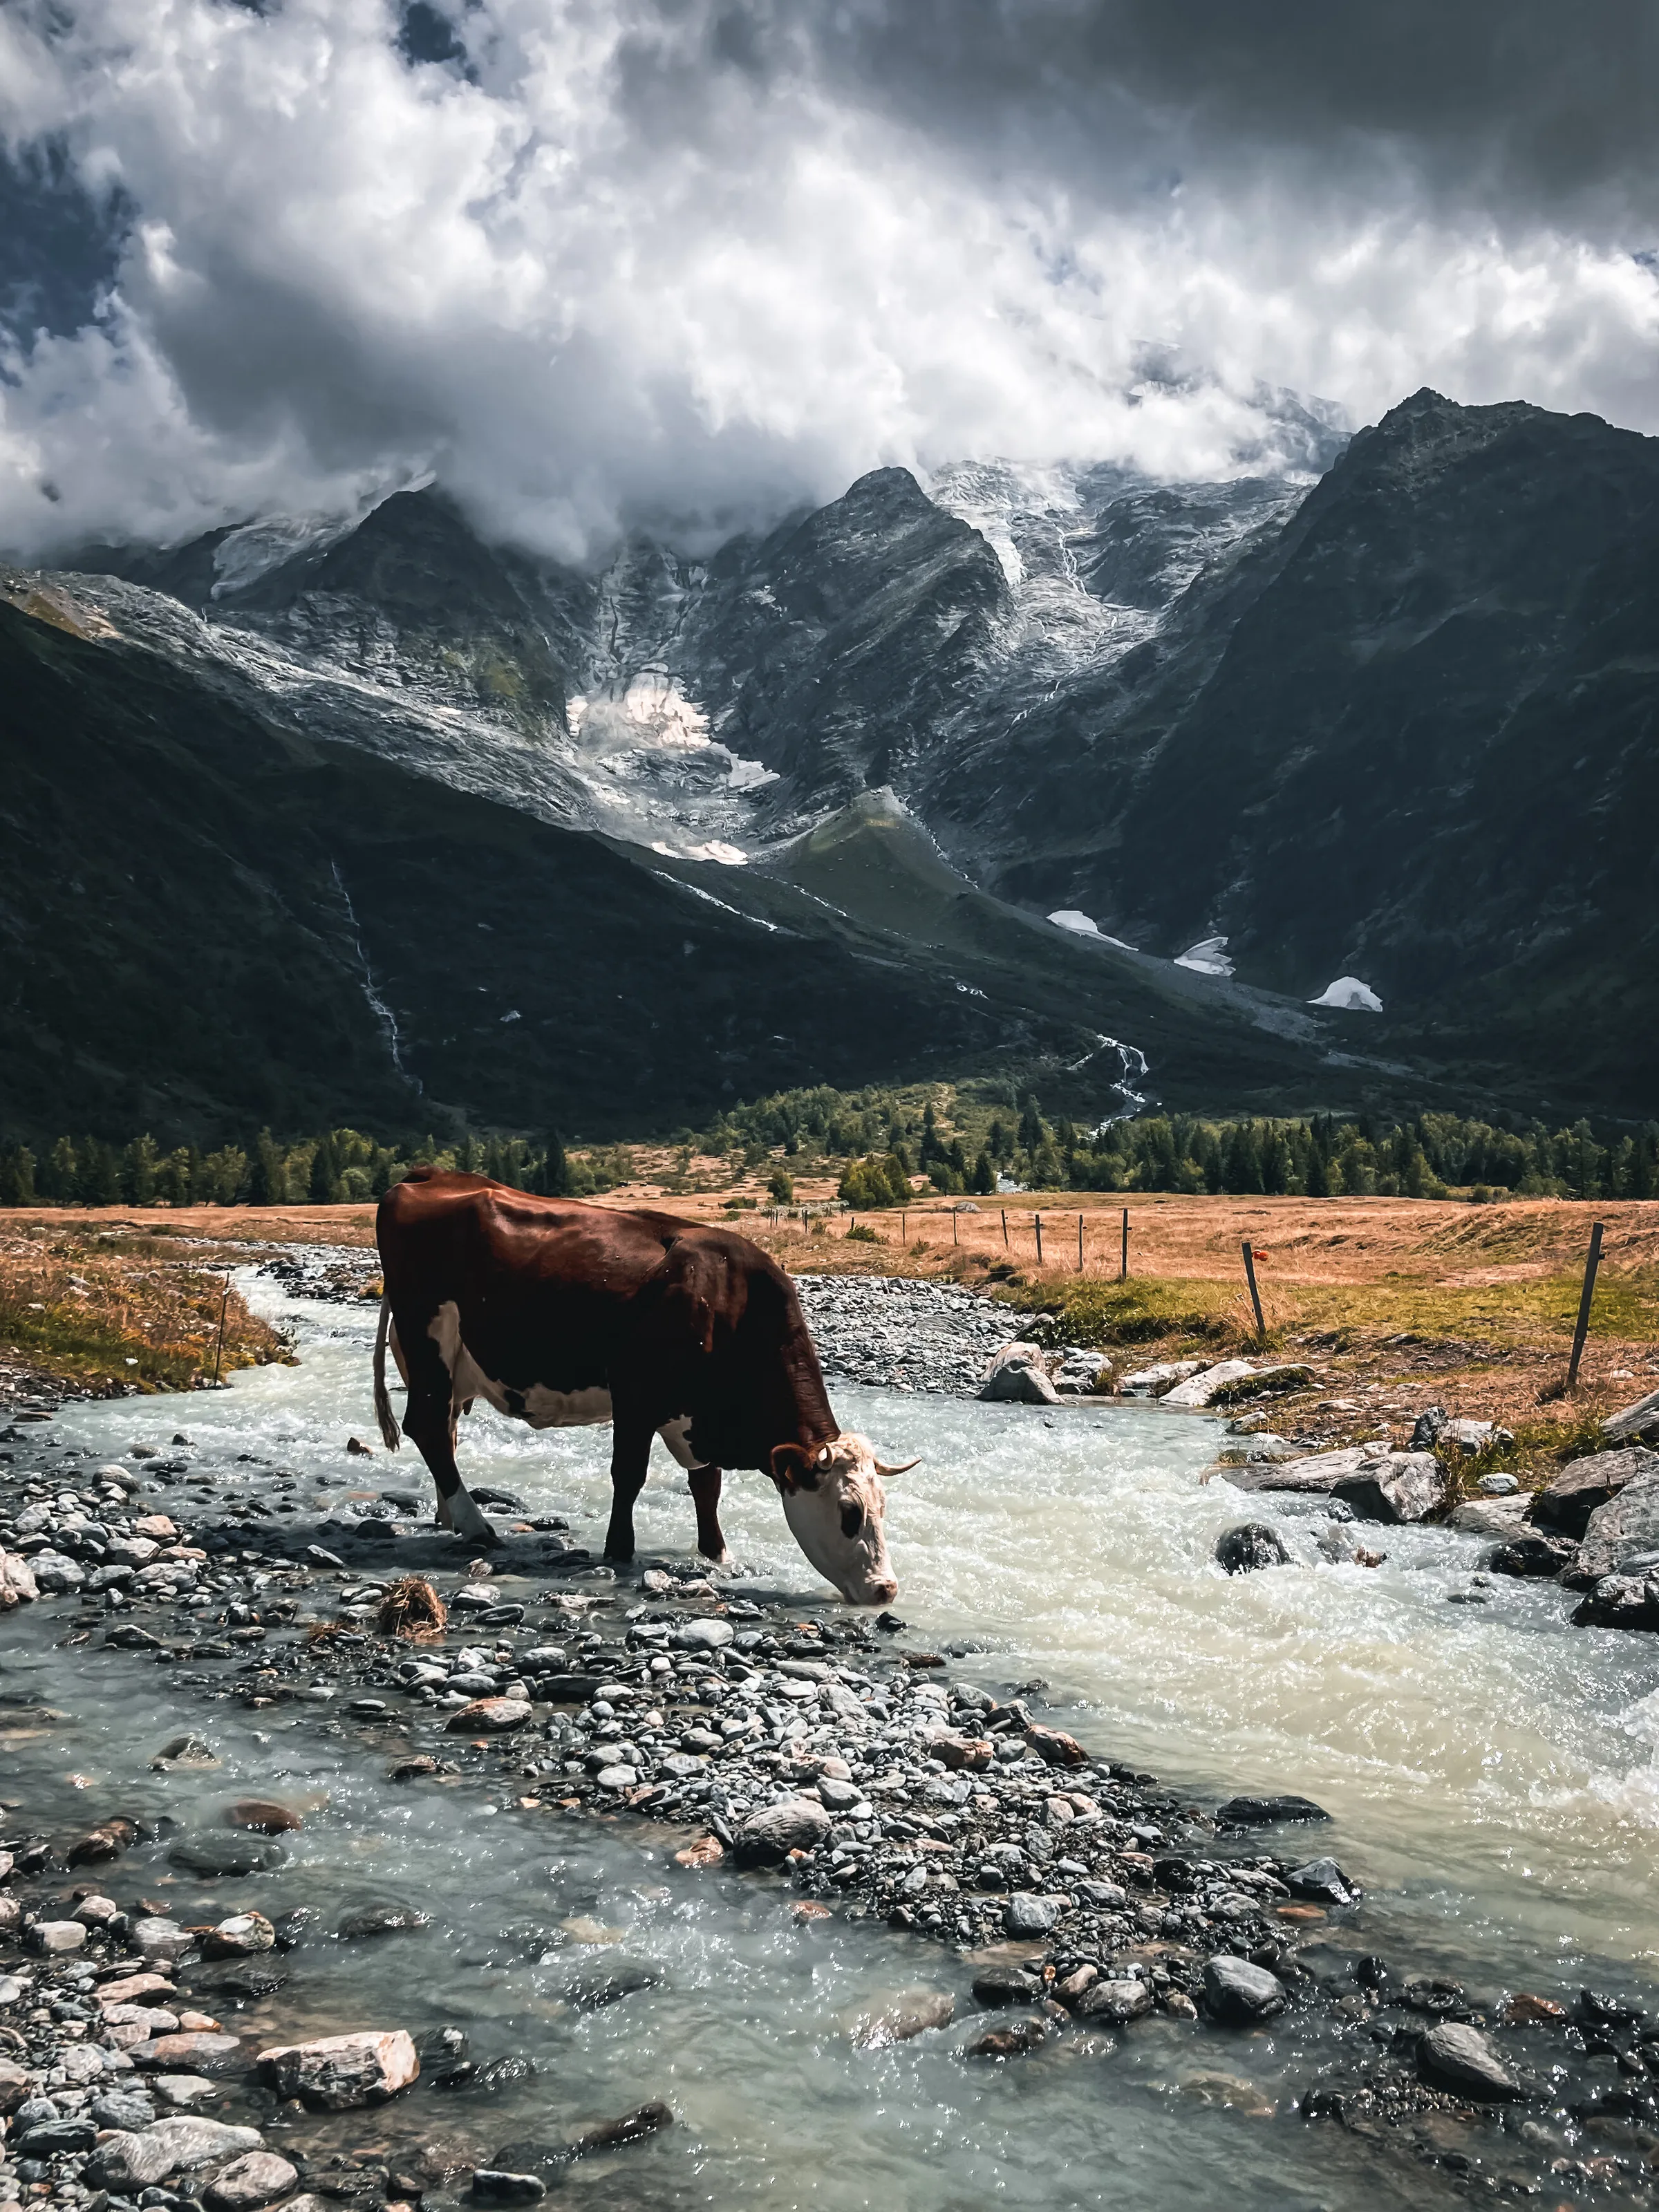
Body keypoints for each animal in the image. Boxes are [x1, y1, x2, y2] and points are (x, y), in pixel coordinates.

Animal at [371, 1168, 913, 1603]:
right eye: (848, 1512)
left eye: (884, 1509)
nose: (886, 1590)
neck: (726, 1299)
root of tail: (427, 1176)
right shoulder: (635, 1399)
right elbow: (629, 1477)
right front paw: (618, 1551)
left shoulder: (695, 1415)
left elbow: (707, 1488)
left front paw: (717, 1554)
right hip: (427, 1338)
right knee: (427, 1426)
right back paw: (475, 1525)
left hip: (448, 1364)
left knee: (444, 1430)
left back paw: (446, 1517)